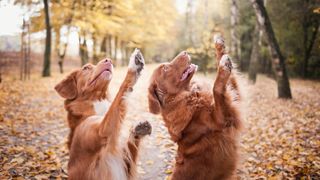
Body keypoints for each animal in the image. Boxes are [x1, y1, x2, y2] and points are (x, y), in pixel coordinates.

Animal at [55, 48, 151, 180]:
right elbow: (121, 91)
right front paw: (134, 66)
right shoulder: (103, 130)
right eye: (86, 67)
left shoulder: (126, 166)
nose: (108, 60)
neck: (98, 99)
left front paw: (138, 129)